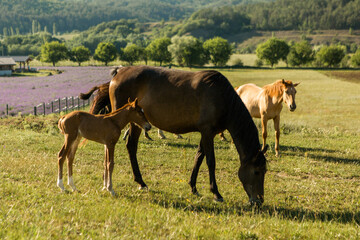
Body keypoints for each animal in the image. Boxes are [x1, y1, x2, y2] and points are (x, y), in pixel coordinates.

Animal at [81, 66, 268, 206]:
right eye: (257, 171)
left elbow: (199, 157)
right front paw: (216, 193)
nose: (259, 200)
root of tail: (119, 72)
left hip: (136, 122)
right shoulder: (208, 132)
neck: (222, 97)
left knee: (131, 147)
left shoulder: (207, 133)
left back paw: (140, 182)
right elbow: (210, 161)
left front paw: (193, 187)